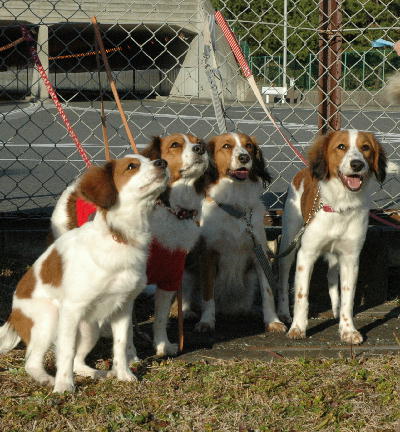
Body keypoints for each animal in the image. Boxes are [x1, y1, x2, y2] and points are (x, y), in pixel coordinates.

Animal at [0, 155, 168, 392]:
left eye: (149, 159)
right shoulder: (72, 309)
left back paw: (98, 373)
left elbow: (121, 344)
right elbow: (66, 351)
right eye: (131, 166)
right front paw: (64, 386)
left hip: (90, 329)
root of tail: (13, 315)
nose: (162, 162)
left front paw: (124, 375)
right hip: (50, 318)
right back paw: (47, 379)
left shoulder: (123, 306)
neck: (121, 237)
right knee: (33, 362)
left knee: (77, 361)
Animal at [184, 132, 288, 334]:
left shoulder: (259, 254)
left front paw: (272, 321)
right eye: (226, 146)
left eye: (249, 146)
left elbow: (267, 293)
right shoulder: (208, 254)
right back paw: (188, 313)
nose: (244, 158)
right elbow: (208, 294)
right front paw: (207, 321)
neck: (235, 201)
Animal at [276, 129, 386, 344]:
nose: (357, 164)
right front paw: (298, 328)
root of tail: (304, 171)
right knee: (284, 278)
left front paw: (347, 329)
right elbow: (301, 295)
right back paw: (284, 313)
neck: (340, 205)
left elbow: (348, 297)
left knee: (331, 275)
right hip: (289, 241)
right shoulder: (306, 254)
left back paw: (335, 310)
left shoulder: (350, 258)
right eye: (341, 147)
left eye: (366, 147)